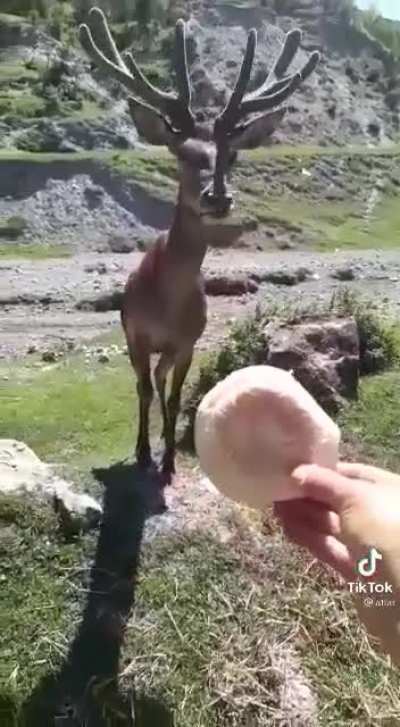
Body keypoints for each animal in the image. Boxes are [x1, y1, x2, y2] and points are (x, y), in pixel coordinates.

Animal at [80, 8, 319, 483]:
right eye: (184, 154)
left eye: (232, 156)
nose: (218, 196)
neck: (166, 306)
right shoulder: (136, 332)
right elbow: (142, 389)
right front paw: (142, 454)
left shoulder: (189, 342)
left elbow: (173, 397)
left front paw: (169, 460)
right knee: (146, 382)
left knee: (160, 379)